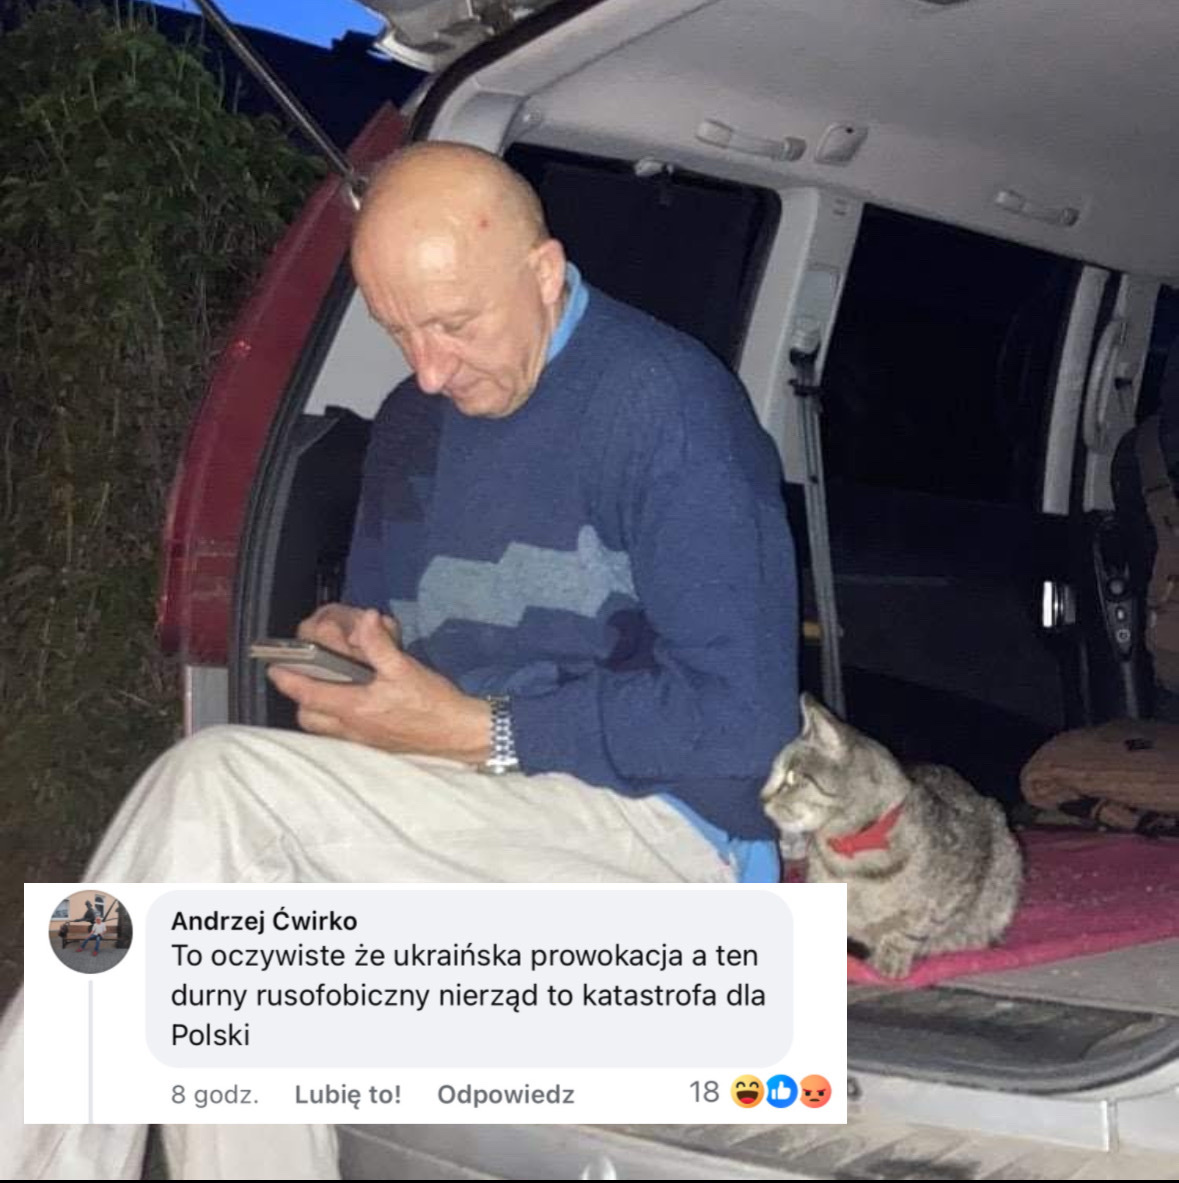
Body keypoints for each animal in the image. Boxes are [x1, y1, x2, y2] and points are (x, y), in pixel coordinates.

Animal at [761, 693, 1023, 979]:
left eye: (791, 778)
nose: (762, 798)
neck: (850, 850)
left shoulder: (955, 891)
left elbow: (912, 926)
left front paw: (891, 957)